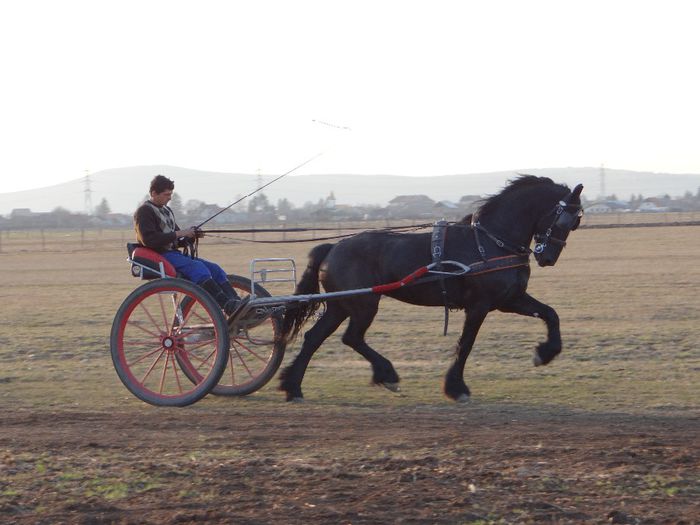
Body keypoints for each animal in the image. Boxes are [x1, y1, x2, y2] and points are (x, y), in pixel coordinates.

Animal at [276, 176, 584, 402]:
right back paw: (386, 374)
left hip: (341, 305)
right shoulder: (479, 305)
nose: (547, 258)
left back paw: (293, 387)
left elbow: (550, 314)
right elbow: (466, 344)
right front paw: (456, 388)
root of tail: (333, 247)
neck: (490, 242)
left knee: (315, 338)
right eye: (564, 220)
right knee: (352, 337)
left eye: (576, 223)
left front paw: (546, 352)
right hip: (364, 304)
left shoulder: (510, 299)